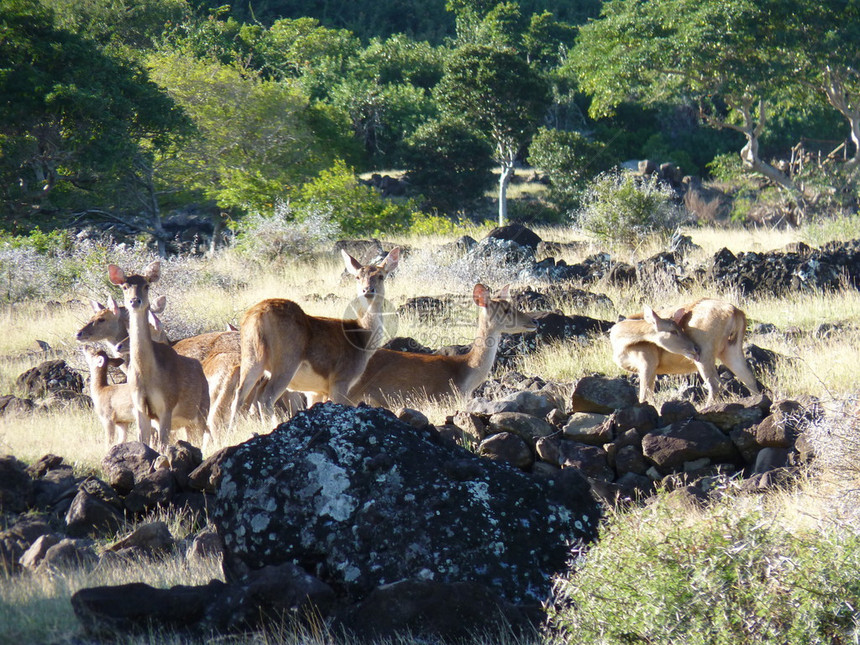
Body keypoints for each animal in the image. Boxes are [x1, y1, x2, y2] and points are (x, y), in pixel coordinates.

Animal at [107, 260, 212, 448]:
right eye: (125, 286)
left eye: (146, 285)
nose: (135, 300)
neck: (147, 377)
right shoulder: (139, 407)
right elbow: (143, 441)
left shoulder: (167, 404)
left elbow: (163, 444)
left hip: (202, 411)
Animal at [230, 245, 402, 422]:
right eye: (357, 277)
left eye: (381, 276)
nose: (367, 290)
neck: (362, 337)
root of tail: (258, 314)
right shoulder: (341, 378)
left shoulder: (314, 390)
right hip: (286, 359)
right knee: (266, 398)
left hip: (251, 355)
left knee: (239, 395)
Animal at [608, 296, 764, 402]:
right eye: (673, 330)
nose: (694, 347)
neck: (620, 343)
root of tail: (735, 312)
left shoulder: (647, 359)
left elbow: (644, 396)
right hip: (731, 349)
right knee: (749, 378)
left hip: (706, 351)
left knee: (715, 383)